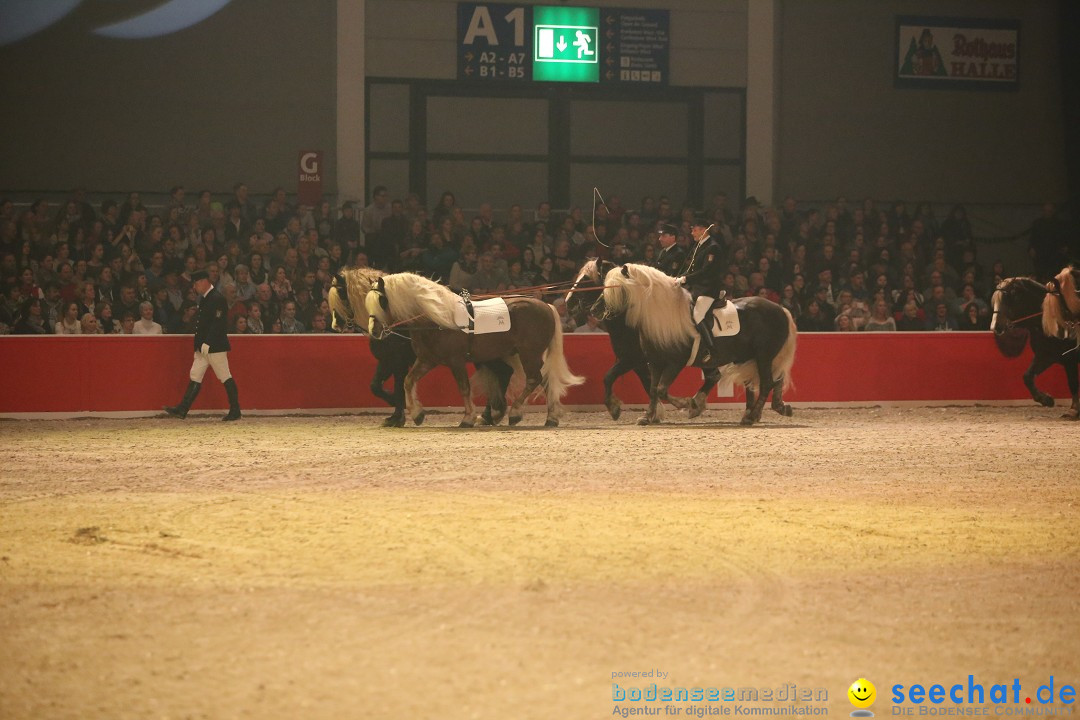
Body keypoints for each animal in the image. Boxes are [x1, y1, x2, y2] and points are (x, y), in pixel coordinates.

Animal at [324, 268, 518, 427]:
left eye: (341, 292)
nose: (335, 324)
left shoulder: (398, 362)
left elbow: (397, 387)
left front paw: (398, 414)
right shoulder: (387, 362)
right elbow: (375, 386)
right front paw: (397, 413)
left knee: (501, 374)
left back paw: (491, 414)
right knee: (502, 374)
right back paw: (491, 414)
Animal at [362, 272, 583, 427]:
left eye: (382, 300)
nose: (374, 331)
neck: (437, 317)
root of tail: (547, 306)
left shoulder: (456, 361)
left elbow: (464, 388)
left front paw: (468, 418)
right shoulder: (427, 360)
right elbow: (408, 382)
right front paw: (417, 414)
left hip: (529, 353)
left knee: (534, 379)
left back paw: (515, 413)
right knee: (544, 379)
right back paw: (550, 417)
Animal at [565, 259, 717, 418]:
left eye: (586, 279)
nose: (568, 302)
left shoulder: (632, 359)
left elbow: (610, 377)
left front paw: (615, 408)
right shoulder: (639, 363)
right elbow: (648, 384)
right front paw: (654, 413)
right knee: (713, 376)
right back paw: (696, 404)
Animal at [604, 262, 799, 425]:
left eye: (619, 289)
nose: (605, 315)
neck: (663, 316)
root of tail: (781, 309)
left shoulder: (674, 362)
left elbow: (661, 389)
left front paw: (687, 403)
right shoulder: (655, 362)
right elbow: (653, 389)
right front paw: (647, 417)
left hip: (764, 355)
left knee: (766, 383)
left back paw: (753, 415)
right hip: (752, 356)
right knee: (770, 379)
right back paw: (776, 408)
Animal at [989, 273, 1075, 418]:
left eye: (1009, 297)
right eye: (994, 300)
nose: (996, 326)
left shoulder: (1070, 358)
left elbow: (1073, 384)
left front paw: (1074, 410)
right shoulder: (1045, 356)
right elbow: (1027, 377)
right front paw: (1045, 399)